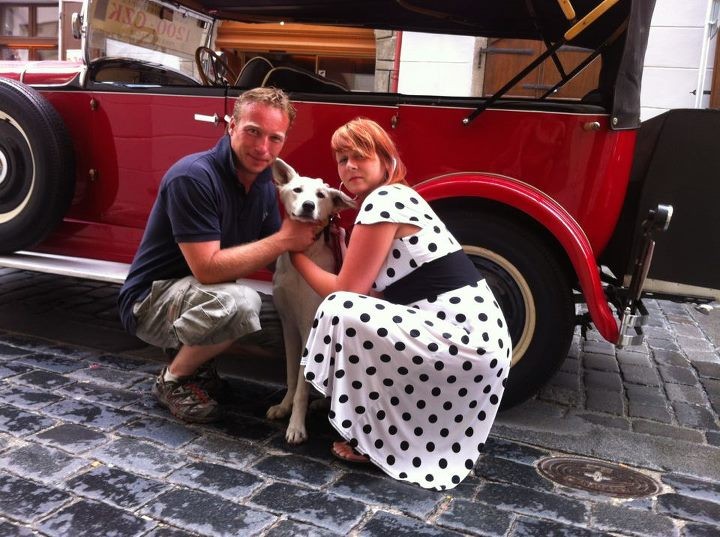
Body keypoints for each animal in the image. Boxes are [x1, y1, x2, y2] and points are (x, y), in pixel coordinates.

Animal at [268, 158, 355, 444]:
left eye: (321, 195)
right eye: (297, 190)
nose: (308, 206)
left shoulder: (310, 328)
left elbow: (302, 387)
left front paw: (296, 426)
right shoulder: (288, 325)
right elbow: (291, 376)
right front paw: (285, 406)